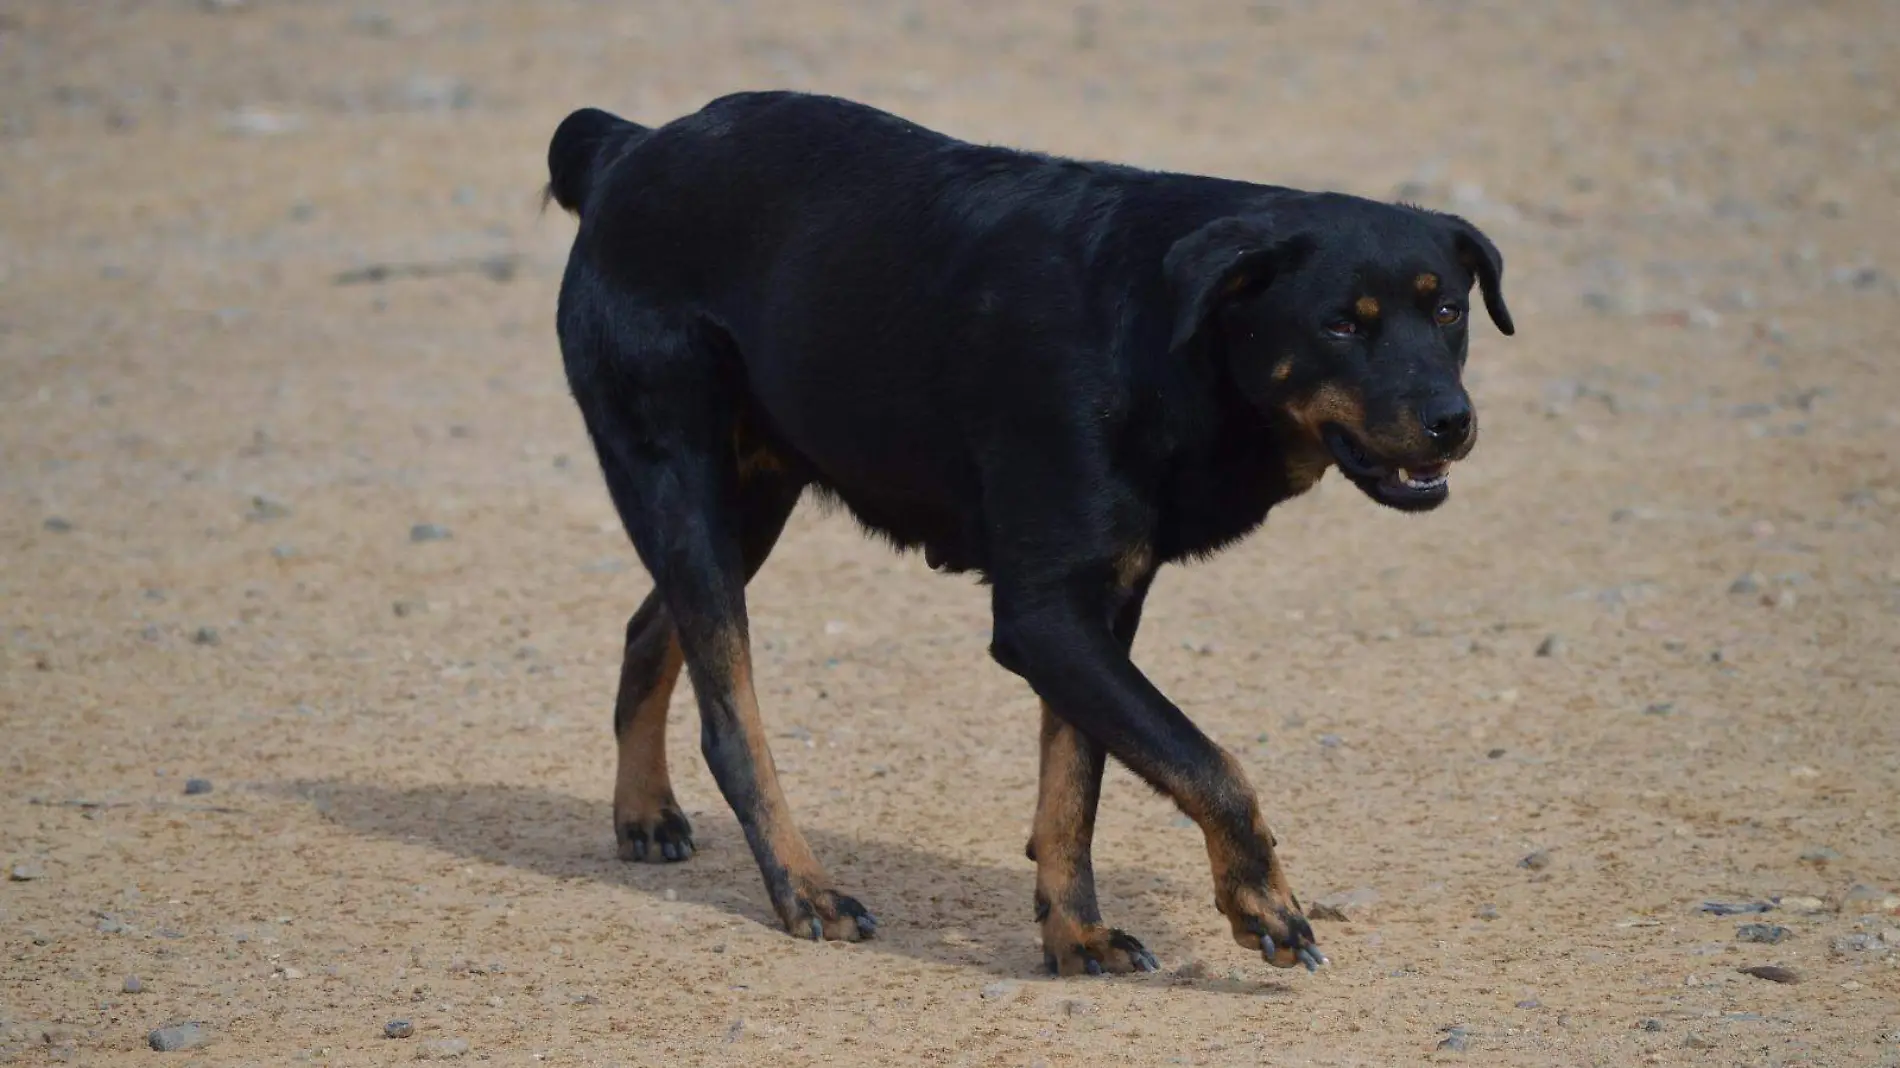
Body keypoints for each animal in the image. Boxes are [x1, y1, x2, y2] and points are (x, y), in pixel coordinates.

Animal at [547, 89, 1512, 972]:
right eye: (1340, 323)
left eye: (1450, 311)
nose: (1452, 422)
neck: (1168, 338)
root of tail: (627, 148)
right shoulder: (1046, 617)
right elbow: (1207, 761)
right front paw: (1260, 900)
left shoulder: (1103, 608)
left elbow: (1075, 785)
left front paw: (1075, 934)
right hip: (680, 483)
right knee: (729, 717)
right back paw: (805, 889)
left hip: (752, 498)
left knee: (649, 627)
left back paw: (643, 813)